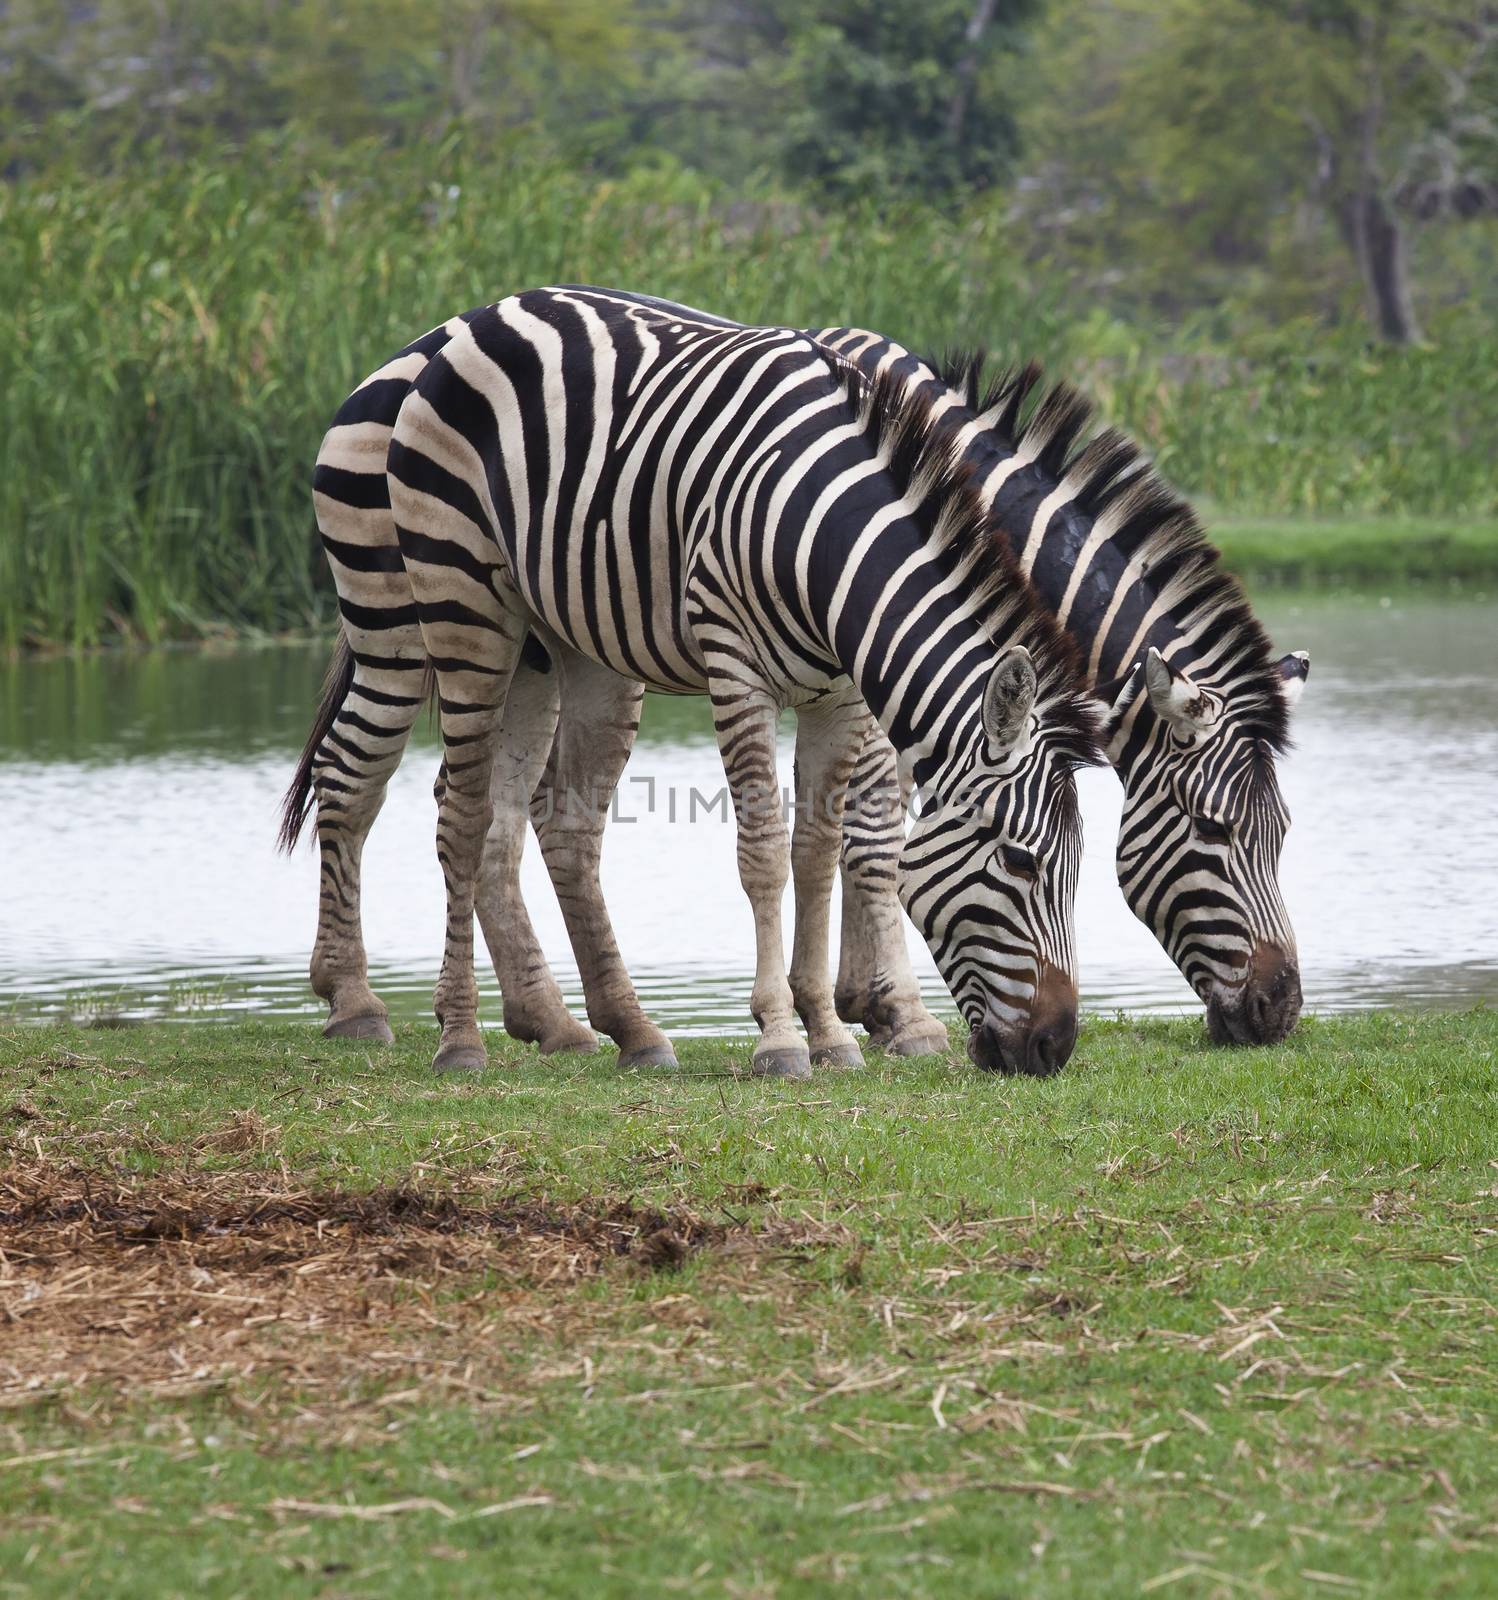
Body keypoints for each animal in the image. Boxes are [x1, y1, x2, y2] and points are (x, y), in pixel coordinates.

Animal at [286, 288, 1101, 1081]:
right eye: (1021, 861)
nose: (1055, 1048)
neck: (827, 543)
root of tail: (479, 318)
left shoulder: (841, 695)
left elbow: (818, 849)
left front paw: (830, 1031)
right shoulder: (737, 670)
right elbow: (767, 851)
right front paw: (784, 1038)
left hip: (556, 645)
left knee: (540, 818)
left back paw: (603, 1028)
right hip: (434, 612)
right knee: (418, 800)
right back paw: (415, 1023)